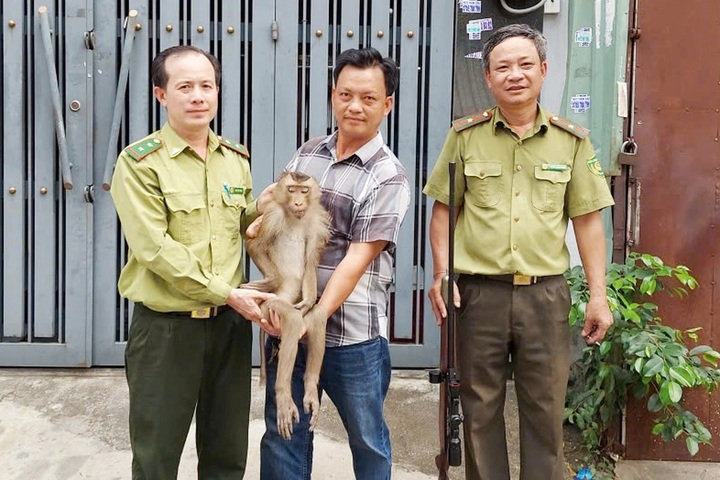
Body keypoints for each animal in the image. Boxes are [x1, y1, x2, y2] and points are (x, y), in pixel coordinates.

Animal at [243, 171, 331, 440]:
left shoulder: (315, 222)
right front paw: (268, 281)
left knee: (316, 317)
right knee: (291, 321)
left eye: (304, 190)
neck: (294, 217)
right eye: (291, 190)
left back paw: (310, 387)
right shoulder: (272, 215)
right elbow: (254, 244)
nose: (299, 202)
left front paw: (310, 298)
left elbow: (311, 260)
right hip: (272, 306)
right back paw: (283, 395)